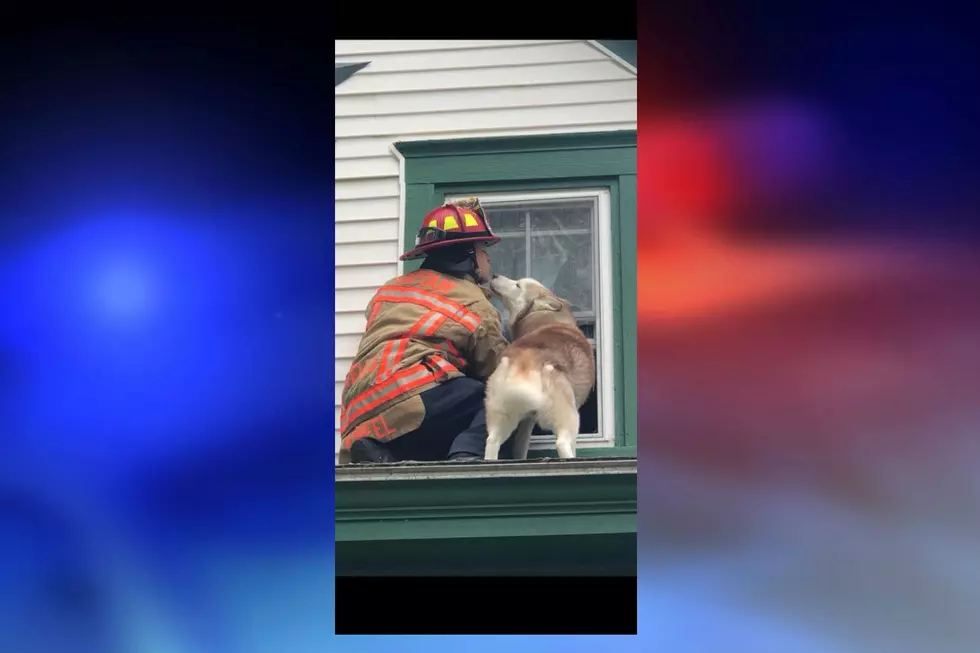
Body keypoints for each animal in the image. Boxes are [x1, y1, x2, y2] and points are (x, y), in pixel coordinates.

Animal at [484, 276, 596, 458]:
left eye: (517, 284)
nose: (494, 276)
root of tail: (525, 361)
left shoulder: (527, 422)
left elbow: (520, 447)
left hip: (501, 418)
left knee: (492, 441)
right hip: (569, 418)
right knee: (562, 444)